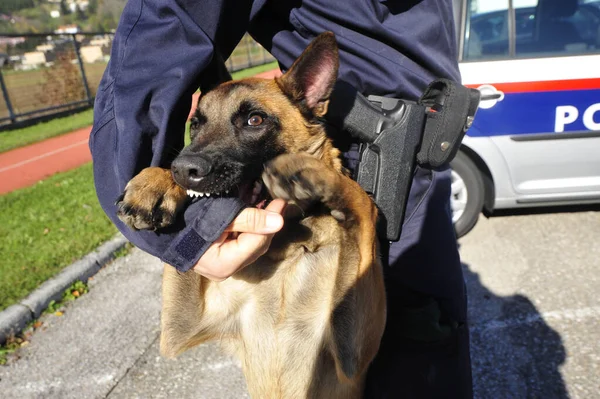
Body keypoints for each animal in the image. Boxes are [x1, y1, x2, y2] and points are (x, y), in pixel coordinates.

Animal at [115, 32, 386, 398]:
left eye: (254, 120)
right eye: (195, 124)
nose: (184, 170)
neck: (289, 243)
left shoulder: (353, 353)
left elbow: (361, 201)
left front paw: (310, 170)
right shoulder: (177, 331)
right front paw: (155, 182)